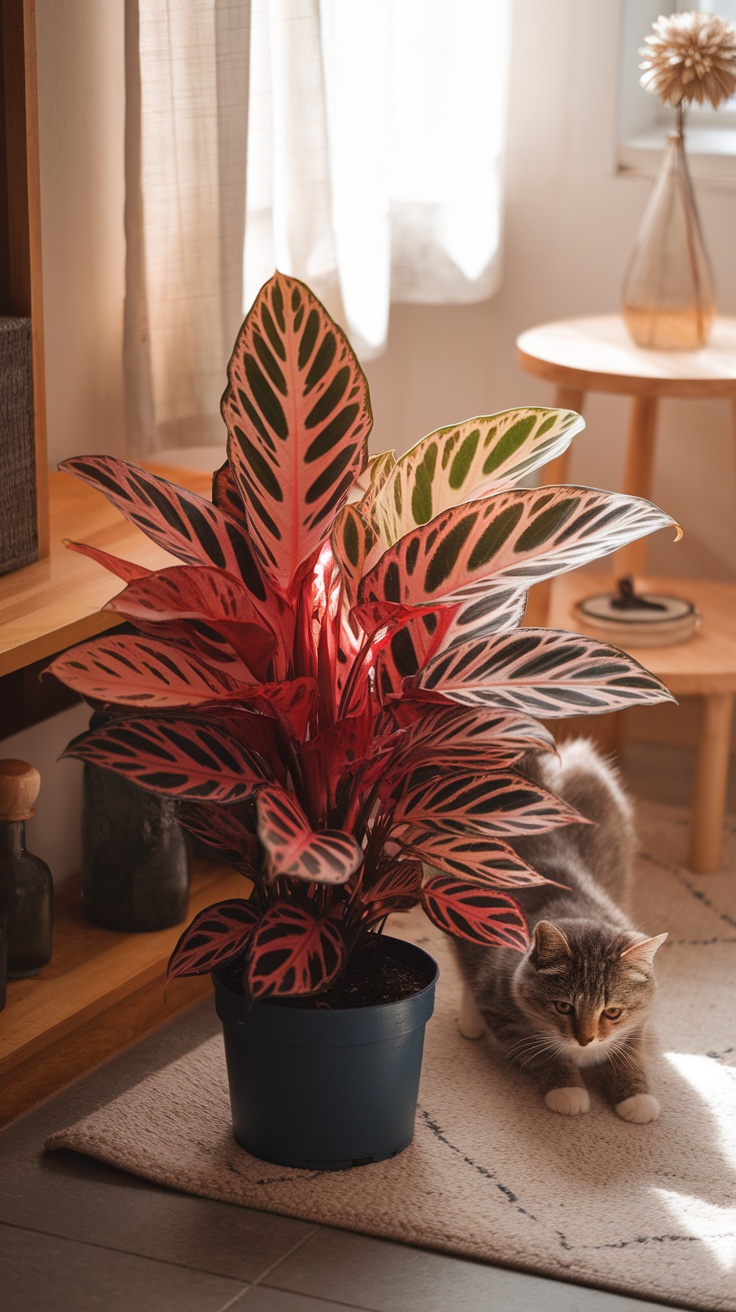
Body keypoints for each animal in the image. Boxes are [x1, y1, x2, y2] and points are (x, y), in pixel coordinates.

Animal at [451, 745, 669, 1123]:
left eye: (613, 1012)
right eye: (563, 1006)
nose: (586, 1041)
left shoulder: (636, 1019)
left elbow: (629, 1052)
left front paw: (637, 1097)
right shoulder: (504, 1010)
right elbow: (543, 1055)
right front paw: (568, 1090)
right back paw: (471, 1021)